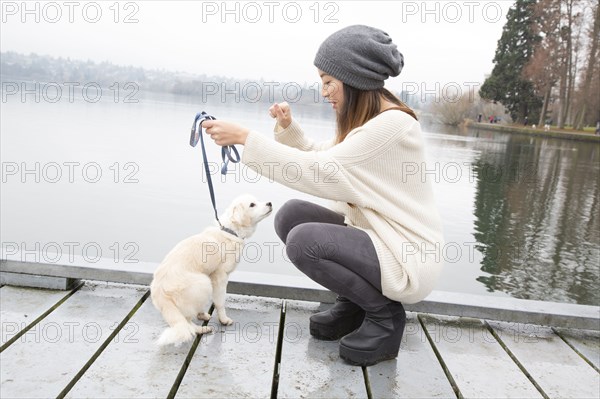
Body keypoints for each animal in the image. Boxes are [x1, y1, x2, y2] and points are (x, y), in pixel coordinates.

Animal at [151, 195, 274, 346]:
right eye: (252, 204)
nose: (270, 203)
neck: (231, 231)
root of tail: (160, 295)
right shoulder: (220, 277)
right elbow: (220, 302)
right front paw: (224, 320)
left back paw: (201, 314)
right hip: (203, 282)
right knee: (187, 322)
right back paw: (201, 329)